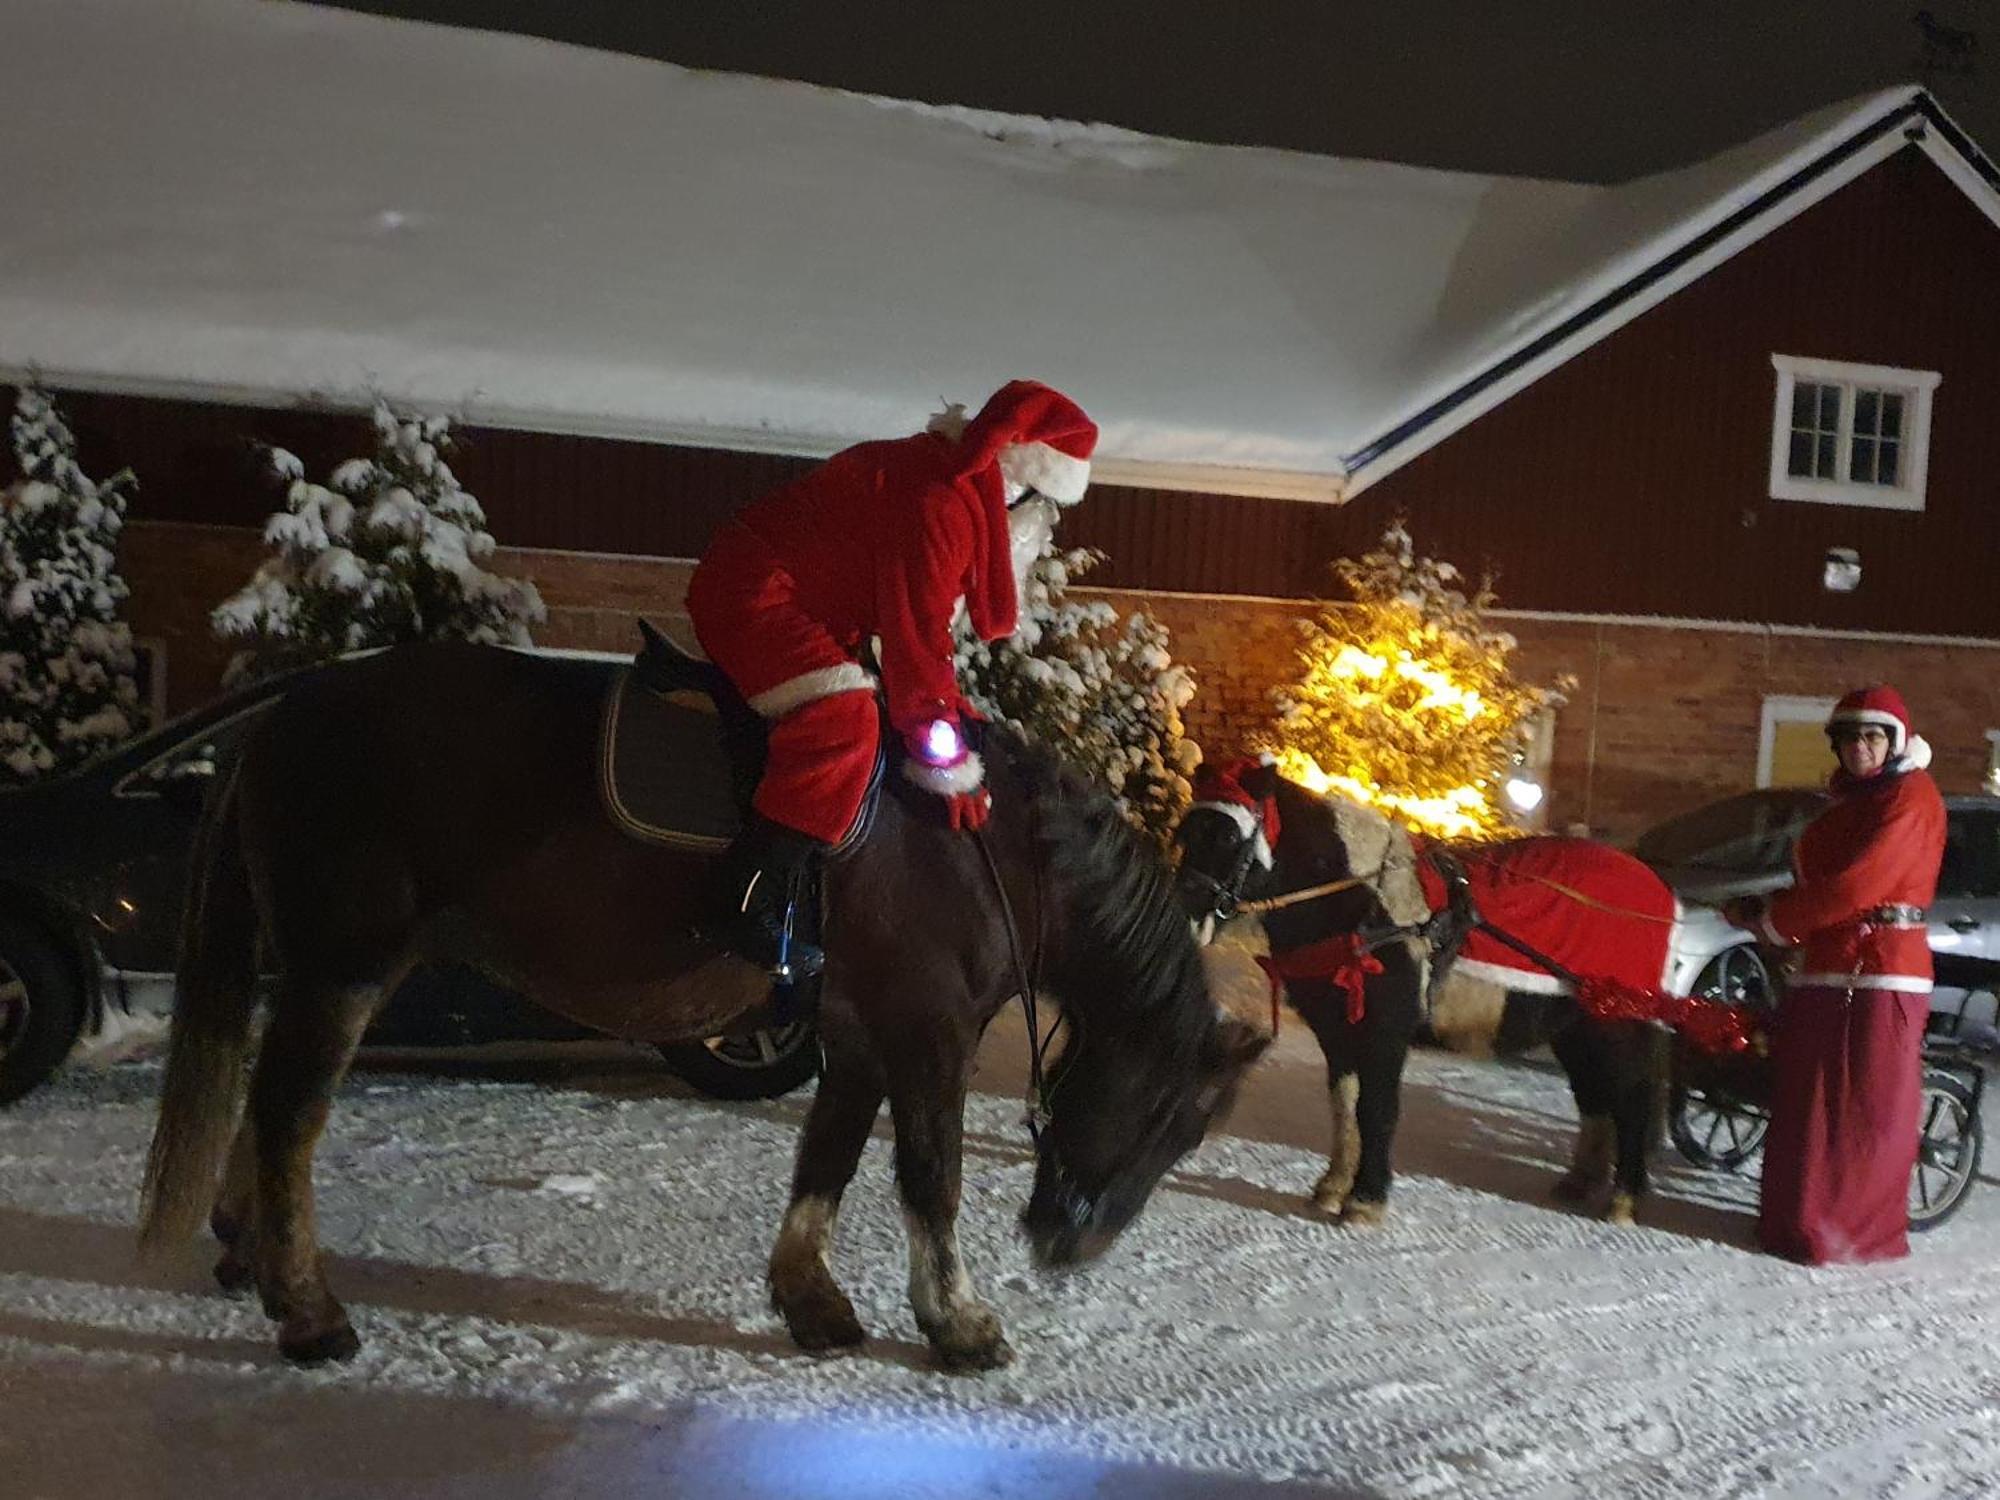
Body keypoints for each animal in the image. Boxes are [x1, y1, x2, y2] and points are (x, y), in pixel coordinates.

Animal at [141, 648, 1264, 1376]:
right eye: (1176, 1117)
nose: (1073, 1244)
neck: (987, 848)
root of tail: (273, 724)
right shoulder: (928, 1029)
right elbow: (929, 1177)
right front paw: (958, 1323)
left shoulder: (857, 1031)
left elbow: (827, 1158)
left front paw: (813, 1301)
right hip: (346, 965)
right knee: (288, 1112)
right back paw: (308, 1311)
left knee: (272, 1101)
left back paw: (249, 1253)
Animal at [1168, 768, 1688, 1224]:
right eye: (1185, 830)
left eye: (1227, 837)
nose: (1185, 907)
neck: (1362, 902)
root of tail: (1662, 893)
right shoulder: (1338, 1033)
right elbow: (1344, 1105)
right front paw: (1333, 1187)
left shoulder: (1384, 1033)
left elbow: (1376, 1110)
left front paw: (1365, 1201)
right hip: (1575, 1033)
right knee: (1595, 1097)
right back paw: (1581, 1184)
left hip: (1616, 1027)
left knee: (1632, 1100)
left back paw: (1624, 1200)